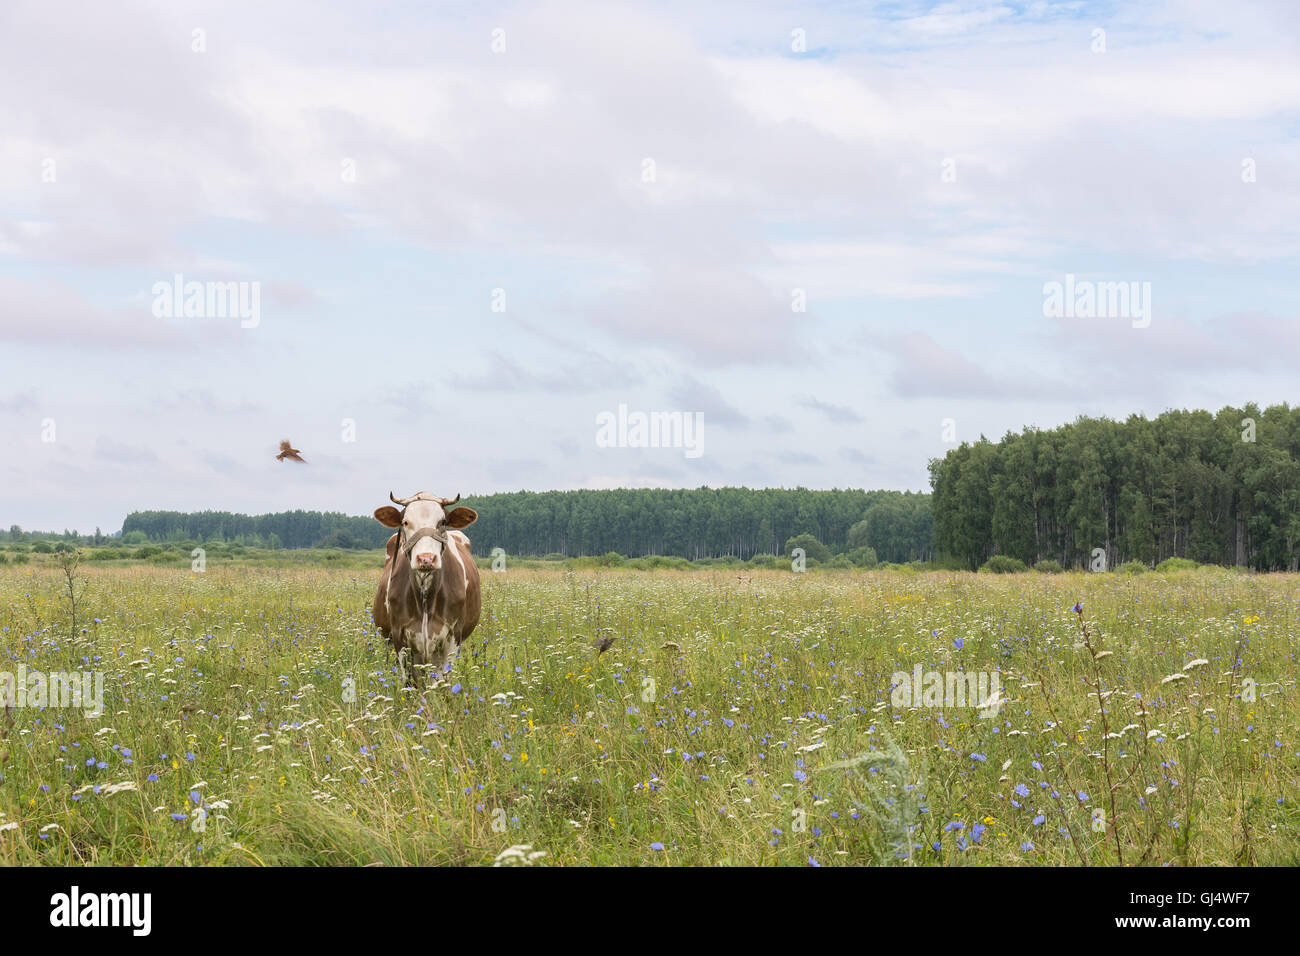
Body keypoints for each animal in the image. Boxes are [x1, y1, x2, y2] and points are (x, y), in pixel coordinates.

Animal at [371, 490, 481, 687]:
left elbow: (444, 680)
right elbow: (408, 680)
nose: (426, 559)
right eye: (405, 522)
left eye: (442, 522)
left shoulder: (452, 635)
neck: (425, 598)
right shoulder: (399, 634)